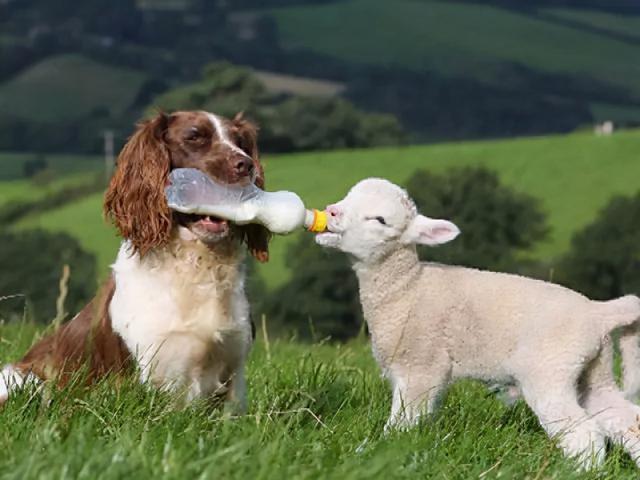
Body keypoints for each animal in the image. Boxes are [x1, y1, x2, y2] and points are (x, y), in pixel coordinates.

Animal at [0, 110, 270, 410]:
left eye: (241, 142)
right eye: (194, 136)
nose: (246, 166)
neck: (195, 265)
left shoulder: (234, 371)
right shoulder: (148, 373)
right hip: (23, 380)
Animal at [318, 178, 640, 466]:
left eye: (380, 220)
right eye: (348, 196)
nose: (332, 212)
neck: (407, 288)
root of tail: (598, 312)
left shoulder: (420, 367)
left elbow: (403, 421)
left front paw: (383, 453)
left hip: (551, 370)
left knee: (583, 432)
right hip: (594, 371)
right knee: (625, 419)